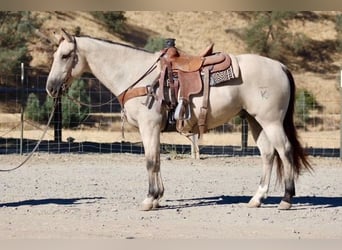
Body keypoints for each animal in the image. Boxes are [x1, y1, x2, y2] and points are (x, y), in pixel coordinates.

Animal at [46, 29, 312, 211]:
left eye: (66, 55)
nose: (50, 88)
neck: (135, 73)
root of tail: (280, 66)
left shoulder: (149, 126)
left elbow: (150, 161)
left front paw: (149, 199)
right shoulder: (153, 129)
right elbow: (157, 161)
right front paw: (158, 197)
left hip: (271, 121)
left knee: (285, 151)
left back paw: (286, 199)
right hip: (256, 121)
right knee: (268, 154)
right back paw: (257, 198)